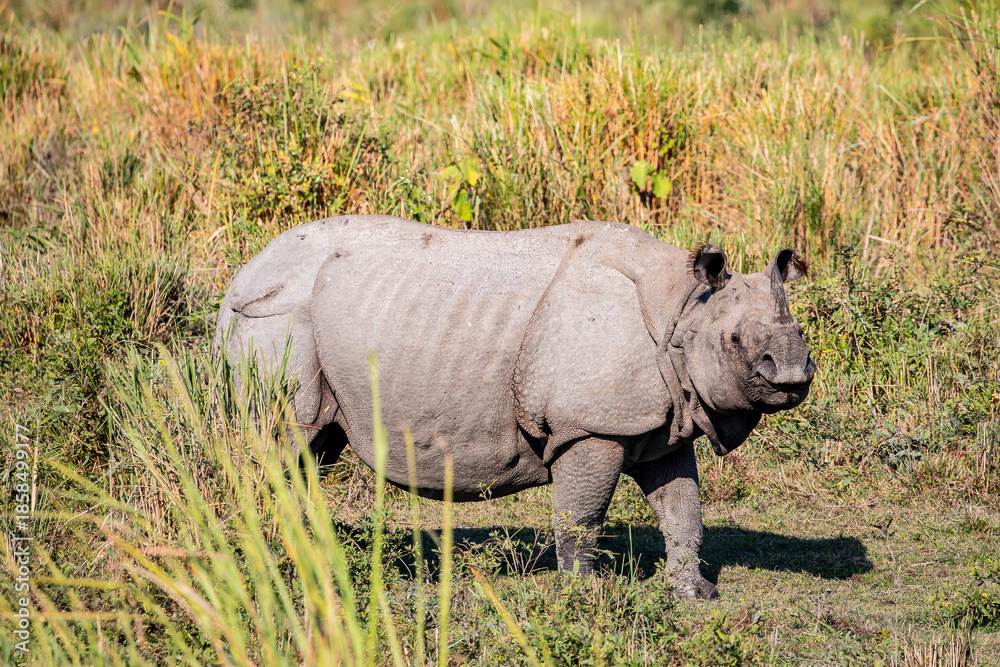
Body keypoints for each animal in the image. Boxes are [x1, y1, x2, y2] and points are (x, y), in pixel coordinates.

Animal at [215, 215, 815, 598]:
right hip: (276, 320)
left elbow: (682, 505)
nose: (793, 374)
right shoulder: (591, 425)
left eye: (803, 333)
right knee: (283, 439)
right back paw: (277, 562)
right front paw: (583, 598)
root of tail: (240, 275)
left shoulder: (662, 419)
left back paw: (313, 558)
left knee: (308, 452)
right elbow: (582, 515)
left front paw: (694, 594)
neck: (684, 308)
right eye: (735, 342)